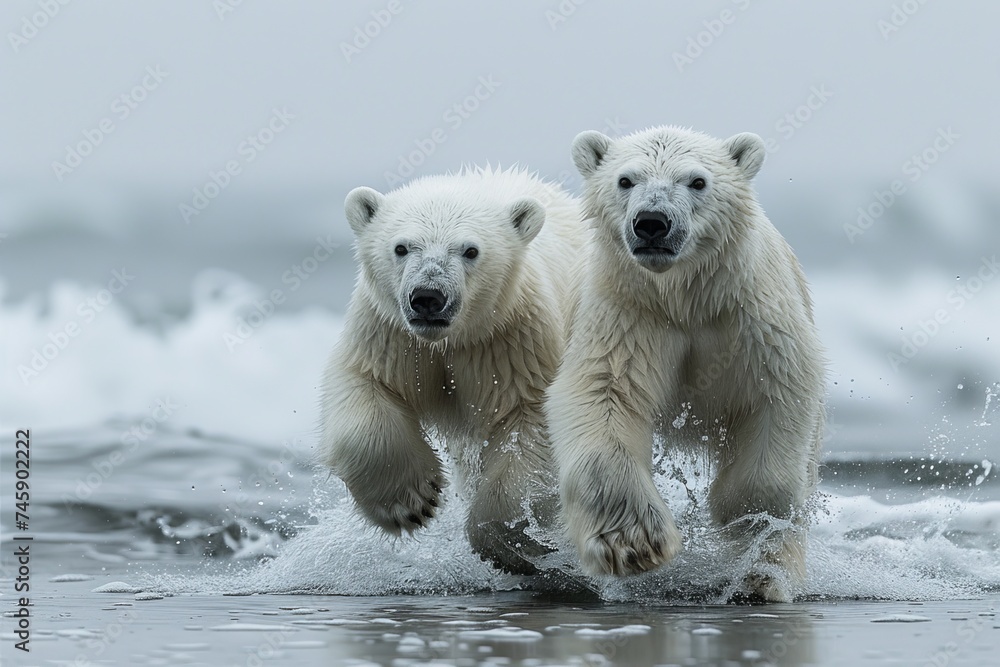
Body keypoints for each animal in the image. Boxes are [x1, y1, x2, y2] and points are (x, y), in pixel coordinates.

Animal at [320, 166, 584, 576]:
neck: (451, 340)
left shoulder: (512, 341)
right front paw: (411, 501)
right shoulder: (392, 336)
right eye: (401, 247)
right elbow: (364, 391)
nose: (428, 297)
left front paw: (506, 535)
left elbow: (530, 425)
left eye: (470, 250)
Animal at [552, 126, 824, 604]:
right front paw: (634, 545)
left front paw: (752, 537)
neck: (684, 298)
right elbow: (604, 395)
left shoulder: (751, 319)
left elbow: (775, 397)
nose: (652, 222)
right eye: (626, 180)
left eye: (697, 181)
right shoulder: (628, 314)